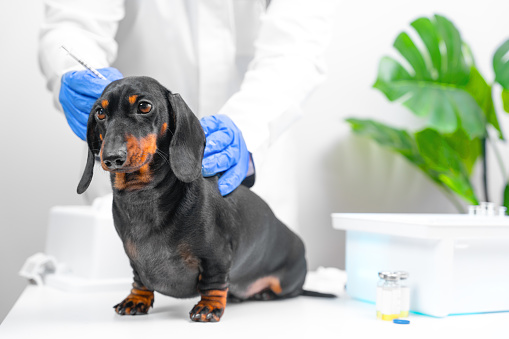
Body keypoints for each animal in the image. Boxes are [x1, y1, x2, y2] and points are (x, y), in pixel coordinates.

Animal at [78, 75, 326, 322]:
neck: (143, 196)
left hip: (286, 282)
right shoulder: (135, 261)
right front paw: (136, 299)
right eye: (100, 112)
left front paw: (209, 306)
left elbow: (213, 282)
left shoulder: (217, 255)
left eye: (144, 106)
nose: (111, 158)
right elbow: (140, 280)